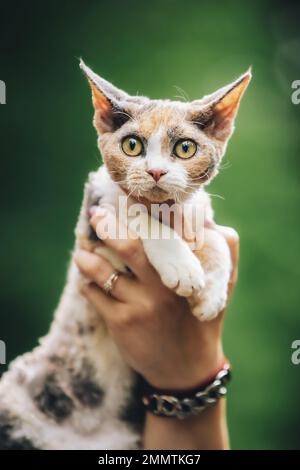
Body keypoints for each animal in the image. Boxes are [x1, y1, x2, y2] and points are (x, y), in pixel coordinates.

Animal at [0, 60, 250, 450]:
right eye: (132, 145)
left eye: (185, 148)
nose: (156, 171)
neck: (165, 209)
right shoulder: (93, 212)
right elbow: (131, 212)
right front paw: (183, 267)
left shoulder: (202, 214)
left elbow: (217, 239)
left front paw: (211, 294)